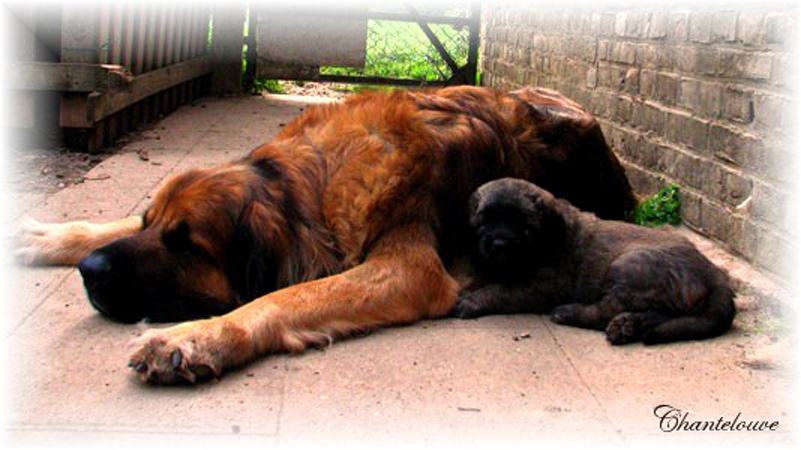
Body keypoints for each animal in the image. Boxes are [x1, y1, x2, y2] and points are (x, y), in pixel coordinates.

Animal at [15, 86, 636, 384]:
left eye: (186, 244)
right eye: (152, 226)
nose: (90, 273)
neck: (304, 185)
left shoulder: (408, 268)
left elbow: (283, 298)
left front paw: (198, 337)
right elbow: (109, 225)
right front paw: (44, 236)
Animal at [454, 177, 736, 344]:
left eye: (522, 225)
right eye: (485, 221)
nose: (499, 244)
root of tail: (716, 276)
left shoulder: (545, 286)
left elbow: (501, 289)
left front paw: (470, 301)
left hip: (629, 265)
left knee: (606, 309)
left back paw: (570, 313)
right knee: (656, 314)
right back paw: (626, 326)